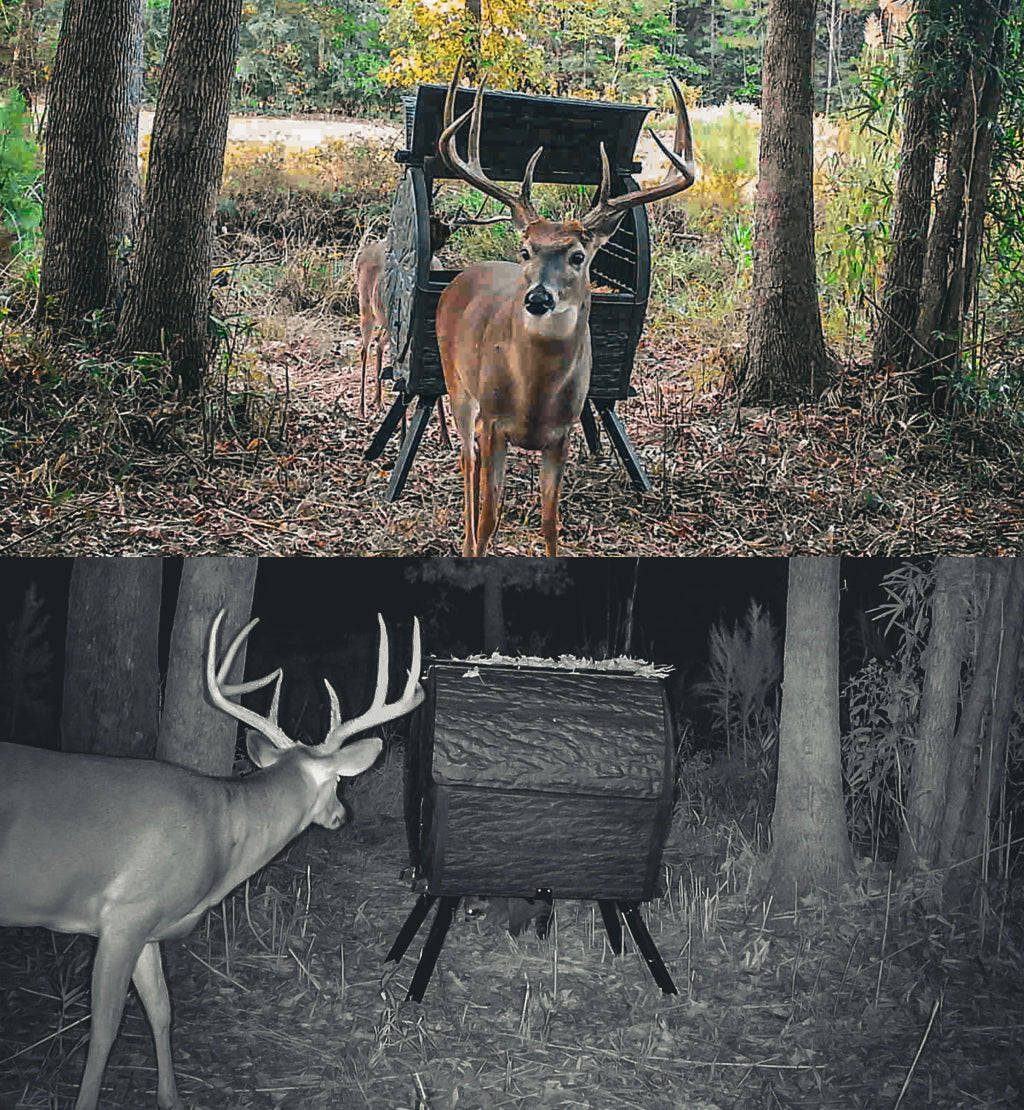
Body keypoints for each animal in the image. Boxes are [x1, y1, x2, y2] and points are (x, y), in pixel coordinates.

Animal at [0, 610, 423, 1110]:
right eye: (338, 781)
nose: (341, 815)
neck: (221, 835)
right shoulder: (125, 915)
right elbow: (104, 1030)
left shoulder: (147, 927)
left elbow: (162, 1009)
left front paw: (171, 1098)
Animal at [435, 60, 696, 555]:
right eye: (526, 250)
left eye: (578, 256)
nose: (538, 298)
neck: (534, 394)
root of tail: (460, 274)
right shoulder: (494, 422)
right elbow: (490, 519)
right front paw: (476, 546)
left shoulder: (562, 434)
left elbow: (550, 523)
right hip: (456, 383)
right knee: (465, 462)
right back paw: (462, 539)